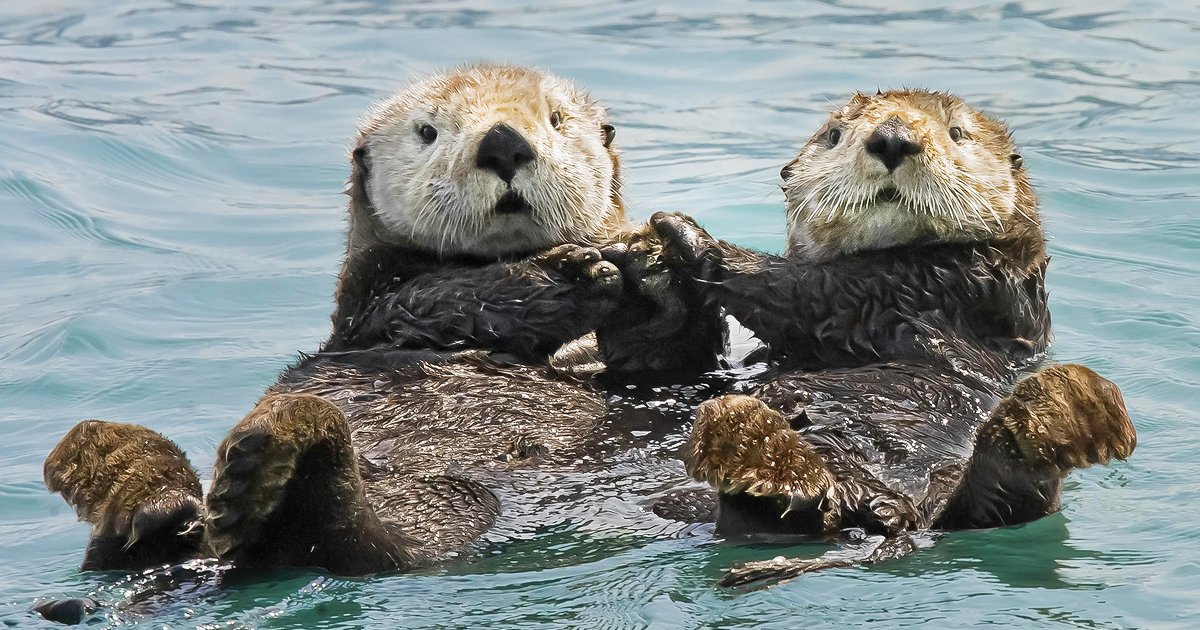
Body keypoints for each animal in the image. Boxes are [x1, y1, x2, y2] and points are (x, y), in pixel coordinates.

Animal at [42, 65, 720, 580]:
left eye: (556, 119)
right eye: (428, 131)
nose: (503, 142)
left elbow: (662, 356)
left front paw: (656, 268)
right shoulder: (377, 303)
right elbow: (445, 299)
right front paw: (573, 274)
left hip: (440, 501)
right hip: (428, 494)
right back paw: (205, 489)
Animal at [638, 90, 1132, 588]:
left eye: (957, 133)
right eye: (835, 135)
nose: (893, 139)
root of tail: (892, 519)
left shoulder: (942, 288)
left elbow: (803, 289)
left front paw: (683, 233)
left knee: (1003, 506)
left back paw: (1057, 416)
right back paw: (753, 452)